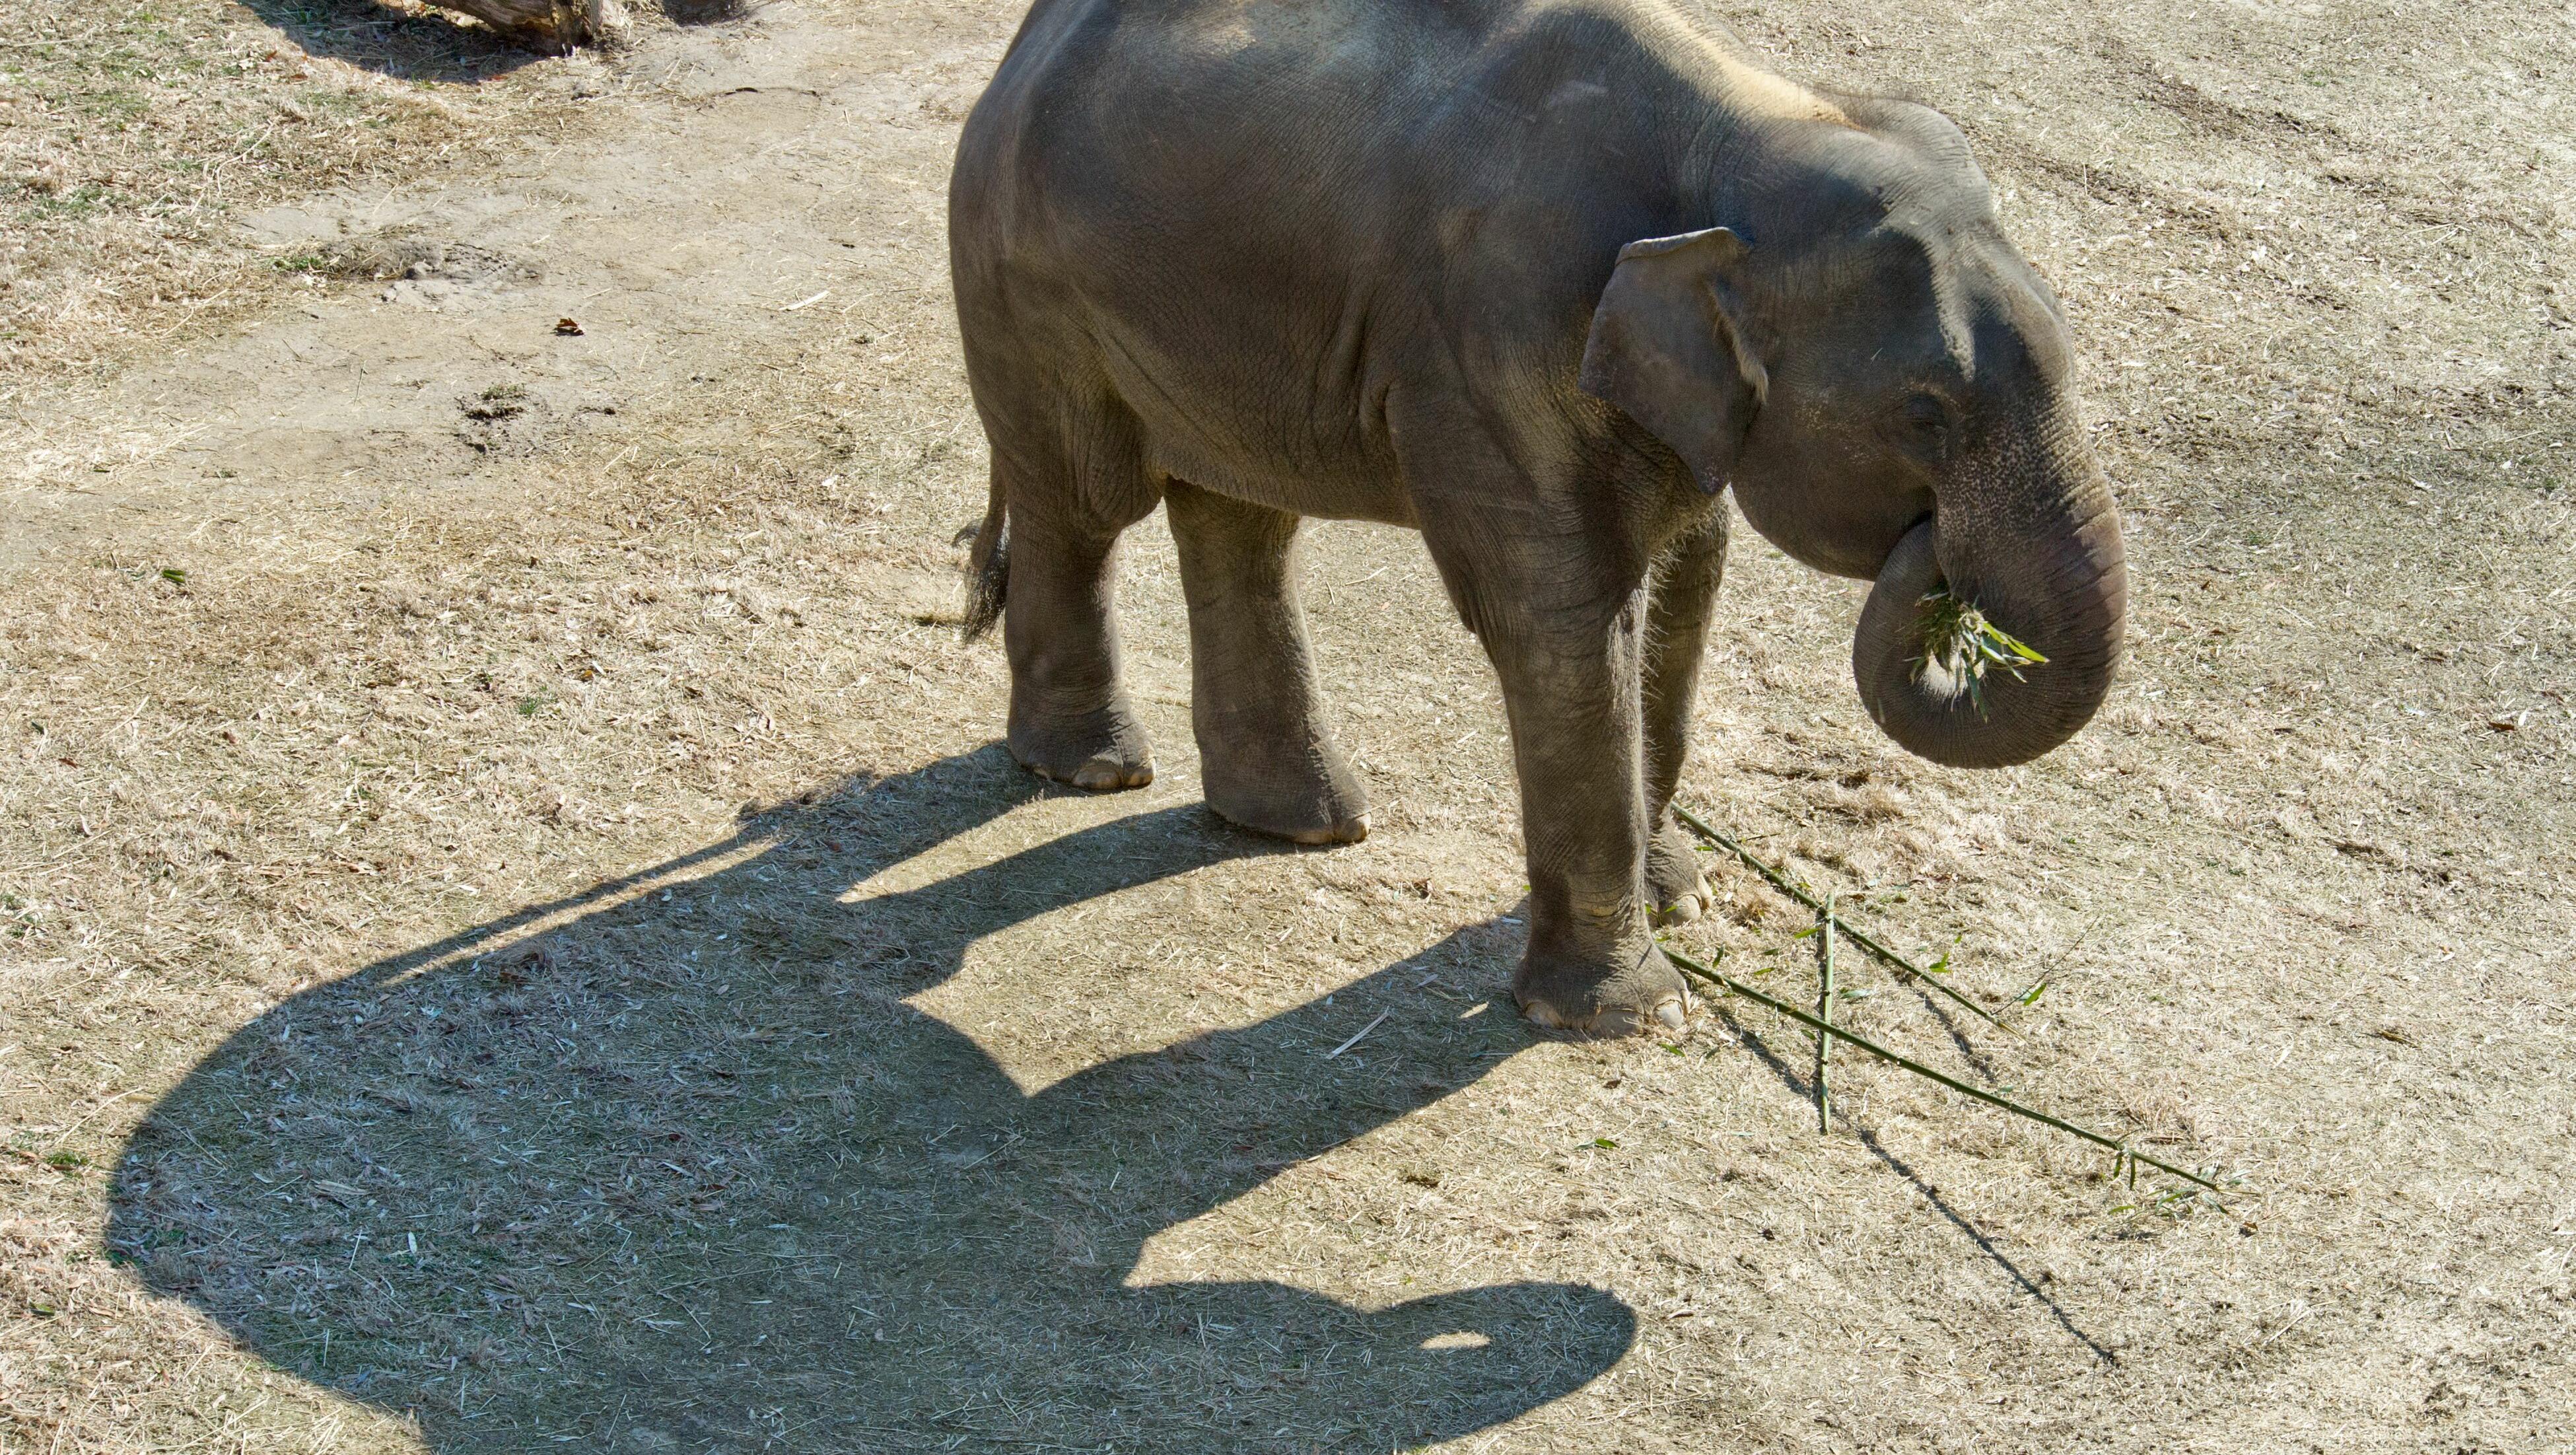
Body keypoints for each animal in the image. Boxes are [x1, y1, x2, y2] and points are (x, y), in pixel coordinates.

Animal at [946, 0, 2127, 1035]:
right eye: (1926, 414)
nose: (1935, 560)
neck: (1750, 129)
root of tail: (1023, 43)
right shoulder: (1491, 342)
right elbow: (1564, 620)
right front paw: (1629, 1015)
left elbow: (1688, 584)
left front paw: (1679, 900)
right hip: (1026, 285)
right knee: (1083, 500)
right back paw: (1093, 770)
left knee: (1240, 521)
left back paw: (1300, 821)